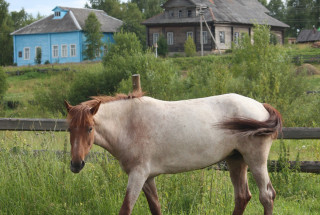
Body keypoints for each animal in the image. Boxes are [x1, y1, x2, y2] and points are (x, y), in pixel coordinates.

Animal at [63, 92, 282, 215]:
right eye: (69, 129)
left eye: (90, 128)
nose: (76, 164)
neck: (129, 125)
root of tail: (261, 107)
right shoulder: (147, 178)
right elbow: (155, 208)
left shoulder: (138, 175)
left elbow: (126, 209)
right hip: (236, 160)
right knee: (242, 197)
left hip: (256, 161)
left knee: (267, 196)